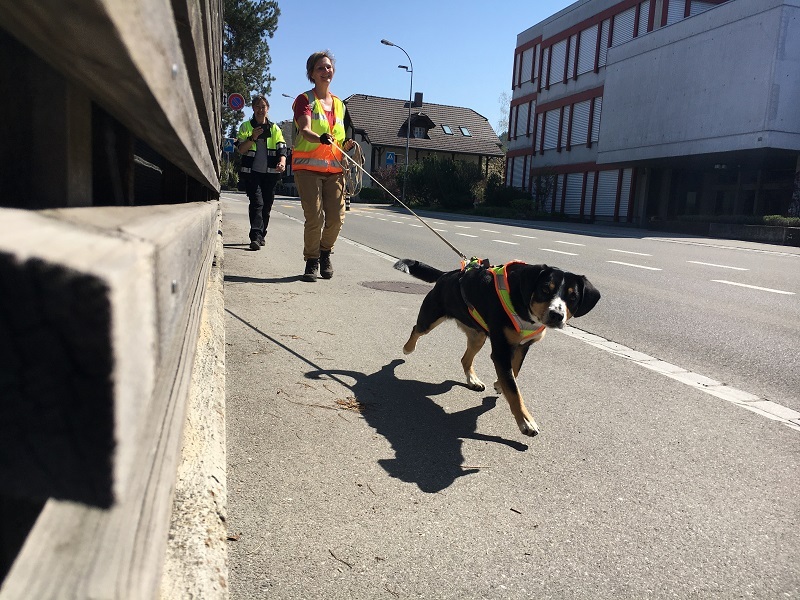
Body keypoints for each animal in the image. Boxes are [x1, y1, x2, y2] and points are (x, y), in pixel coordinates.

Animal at [394, 258, 600, 436]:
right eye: (545, 289)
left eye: (573, 297)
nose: (557, 315)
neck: (524, 307)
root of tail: (447, 274)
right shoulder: (501, 351)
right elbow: (514, 391)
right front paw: (526, 421)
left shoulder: (522, 346)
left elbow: (513, 373)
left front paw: (500, 384)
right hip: (430, 318)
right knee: (417, 329)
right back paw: (408, 348)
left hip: (478, 335)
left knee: (465, 359)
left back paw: (473, 380)